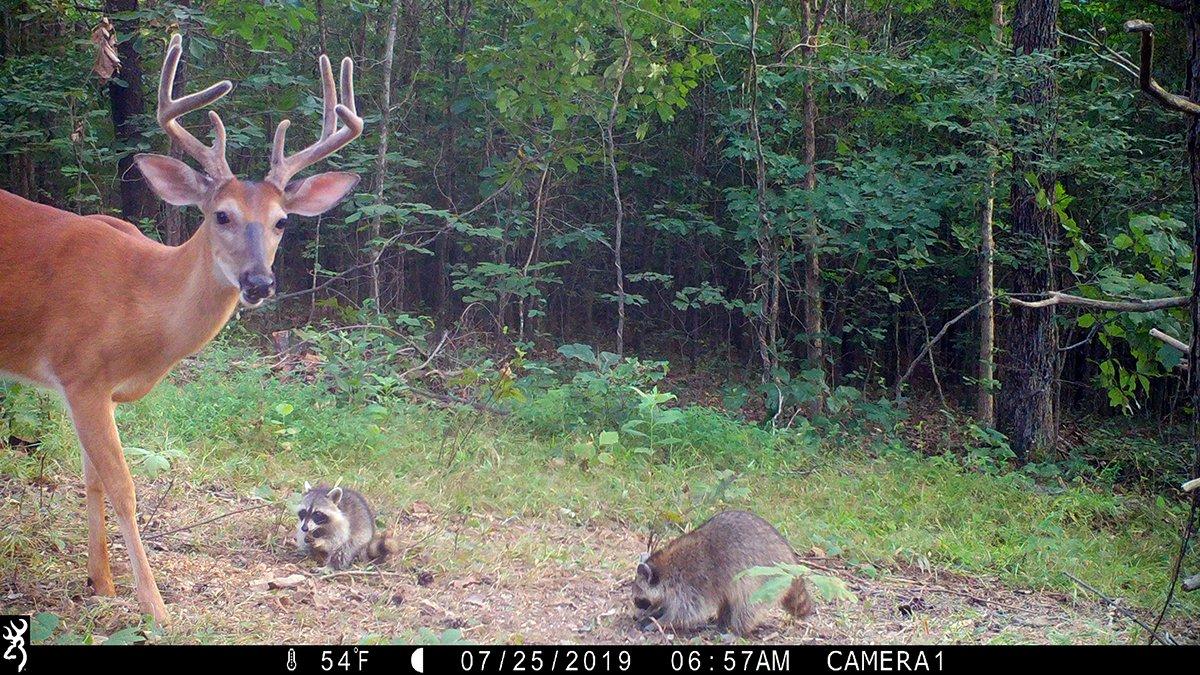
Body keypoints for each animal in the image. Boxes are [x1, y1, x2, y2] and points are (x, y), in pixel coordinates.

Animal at [0, 34, 363, 624]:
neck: (139, 306)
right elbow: (123, 487)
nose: (259, 282)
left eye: (283, 221)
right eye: (221, 215)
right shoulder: (80, 373)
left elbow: (92, 479)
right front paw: (155, 606)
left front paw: (102, 584)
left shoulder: (91, 392)